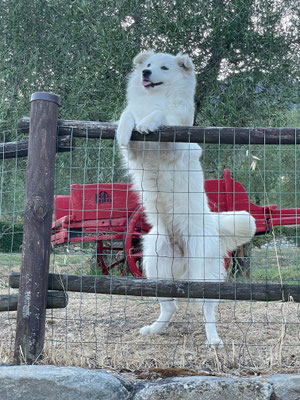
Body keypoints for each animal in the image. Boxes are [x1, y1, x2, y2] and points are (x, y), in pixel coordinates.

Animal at [116, 50, 254, 346]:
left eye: (164, 68)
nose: (145, 73)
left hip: (203, 272)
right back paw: (154, 329)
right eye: (147, 65)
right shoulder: (134, 152)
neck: (156, 97)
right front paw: (124, 127)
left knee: (208, 309)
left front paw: (148, 121)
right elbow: (128, 114)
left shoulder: (176, 141)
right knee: (171, 306)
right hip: (154, 263)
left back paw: (213, 339)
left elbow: (161, 114)